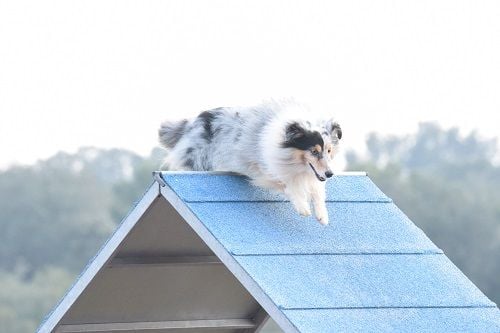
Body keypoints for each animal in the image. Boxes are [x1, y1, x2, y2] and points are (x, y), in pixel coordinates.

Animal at [158, 100, 342, 224]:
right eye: (314, 151)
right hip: (200, 160)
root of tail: (193, 122)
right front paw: (303, 208)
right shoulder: (267, 168)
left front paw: (322, 216)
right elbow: (289, 185)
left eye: (329, 151)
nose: (330, 174)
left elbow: (318, 191)